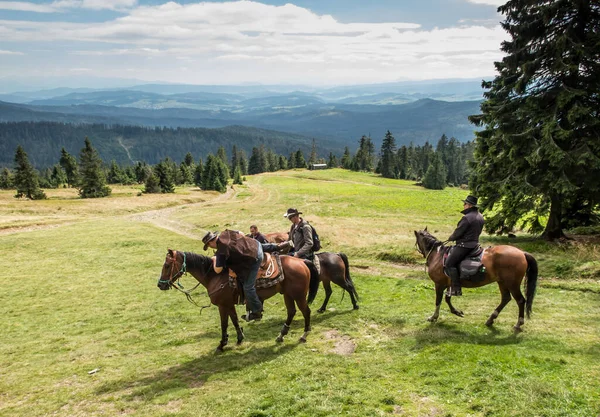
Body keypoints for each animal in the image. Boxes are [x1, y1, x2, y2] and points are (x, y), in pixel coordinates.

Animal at [157, 247, 322, 352]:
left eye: (167, 265)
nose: (160, 285)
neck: (214, 276)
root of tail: (301, 262)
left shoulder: (222, 306)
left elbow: (224, 324)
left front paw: (221, 345)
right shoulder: (229, 305)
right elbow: (235, 320)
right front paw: (239, 338)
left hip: (299, 295)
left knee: (306, 311)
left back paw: (304, 335)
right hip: (287, 294)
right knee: (291, 312)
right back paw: (281, 335)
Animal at [412, 228, 540, 332]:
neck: (437, 255)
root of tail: (522, 253)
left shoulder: (439, 284)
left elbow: (438, 301)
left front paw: (433, 317)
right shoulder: (449, 284)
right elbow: (447, 299)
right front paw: (457, 312)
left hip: (512, 284)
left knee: (520, 301)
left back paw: (518, 324)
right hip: (502, 282)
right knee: (505, 298)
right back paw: (490, 319)